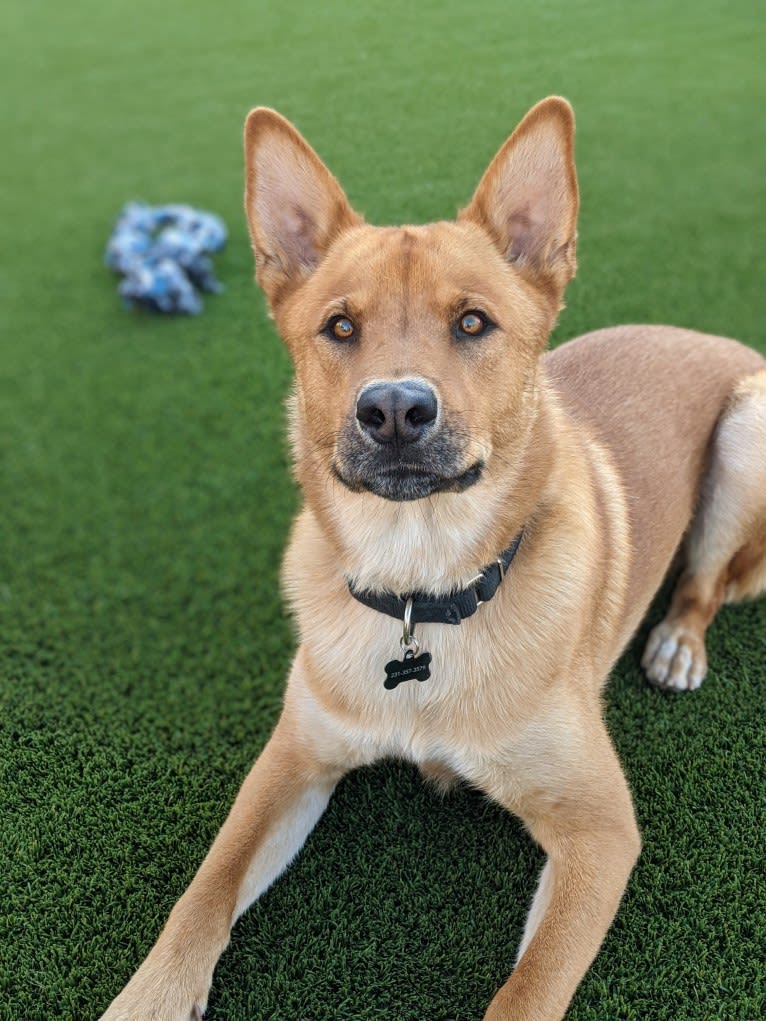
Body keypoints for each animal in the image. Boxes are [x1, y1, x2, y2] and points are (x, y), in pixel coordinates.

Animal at [102, 97, 766, 1021]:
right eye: (340, 326)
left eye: (473, 322)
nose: (393, 409)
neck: (421, 590)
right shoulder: (291, 757)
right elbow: (205, 888)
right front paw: (148, 995)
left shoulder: (599, 831)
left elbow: (527, 991)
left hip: (748, 427)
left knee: (706, 579)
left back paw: (677, 641)